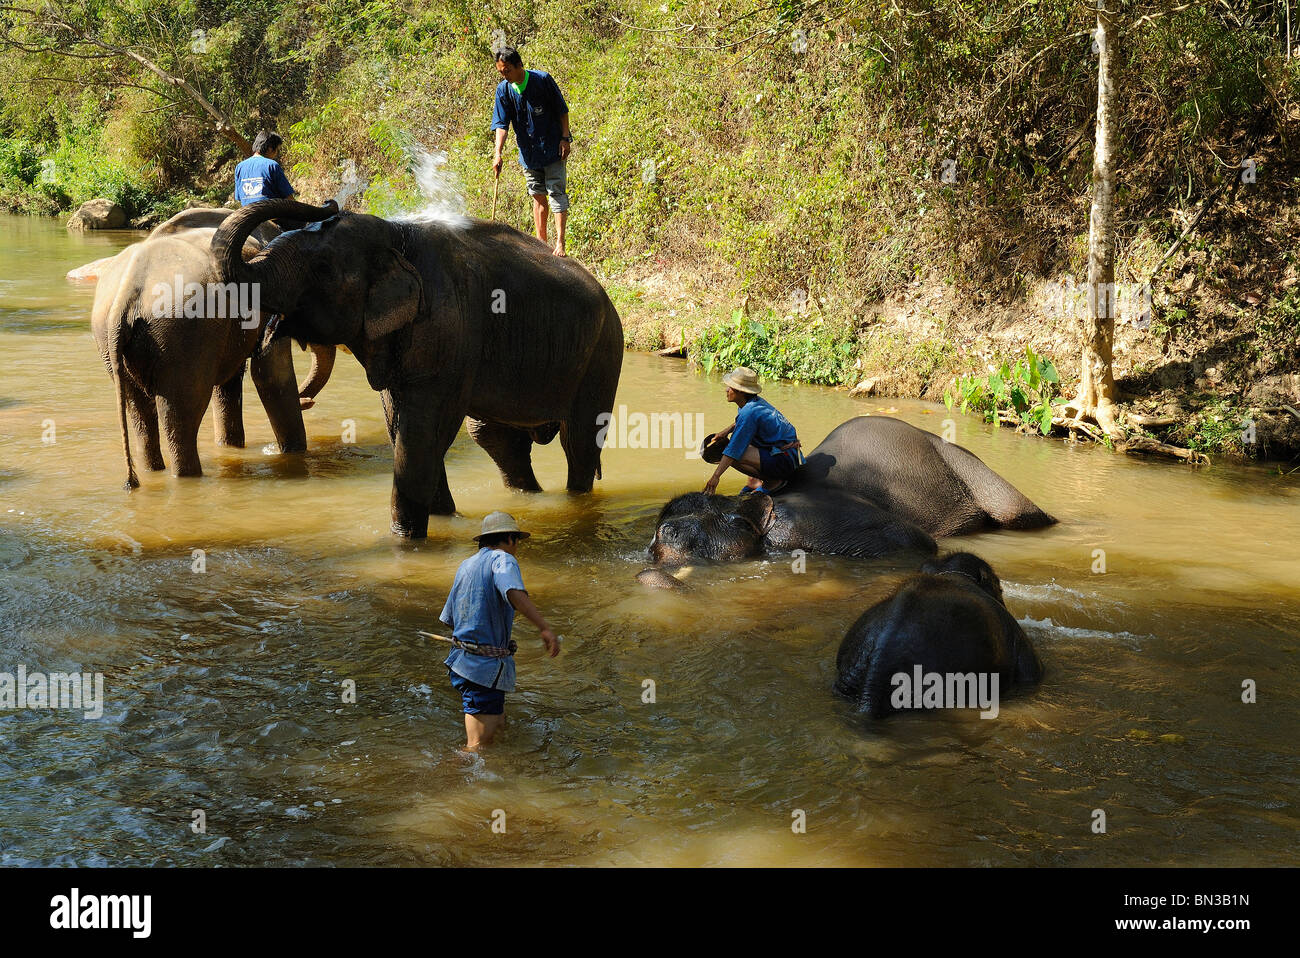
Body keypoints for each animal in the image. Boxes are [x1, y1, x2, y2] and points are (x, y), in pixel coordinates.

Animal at [86, 204, 338, 486]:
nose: (307, 400)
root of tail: (126, 295)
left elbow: (229, 384)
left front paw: (230, 447)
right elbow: (270, 373)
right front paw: (295, 455)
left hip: (111, 342)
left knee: (140, 414)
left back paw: (153, 473)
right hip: (180, 336)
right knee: (182, 417)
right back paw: (188, 477)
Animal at [209, 196, 624, 538]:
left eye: (323, 268)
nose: (329, 204)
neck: (395, 233)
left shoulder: (447, 329)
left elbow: (421, 432)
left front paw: (407, 540)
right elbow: (401, 426)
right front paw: (442, 520)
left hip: (604, 352)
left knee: (579, 441)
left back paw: (573, 504)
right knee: (495, 437)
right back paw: (530, 499)